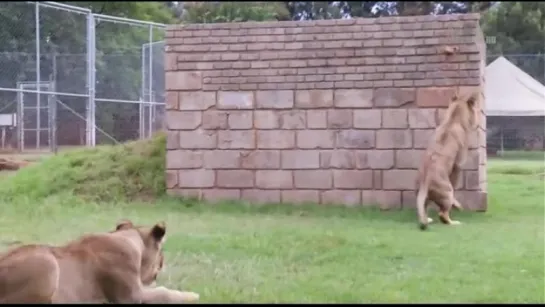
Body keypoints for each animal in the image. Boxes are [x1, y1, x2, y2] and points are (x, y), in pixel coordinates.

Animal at [0, 220, 200, 304]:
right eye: (161, 253)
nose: (162, 263)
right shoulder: (131, 297)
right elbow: (165, 292)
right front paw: (193, 295)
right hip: (47, 261)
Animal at [414, 89, 478, 231]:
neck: (453, 119)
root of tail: (425, 184)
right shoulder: (458, 165)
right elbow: (455, 182)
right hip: (447, 192)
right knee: (442, 215)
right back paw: (455, 221)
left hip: (423, 194)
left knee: (425, 209)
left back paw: (428, 219)